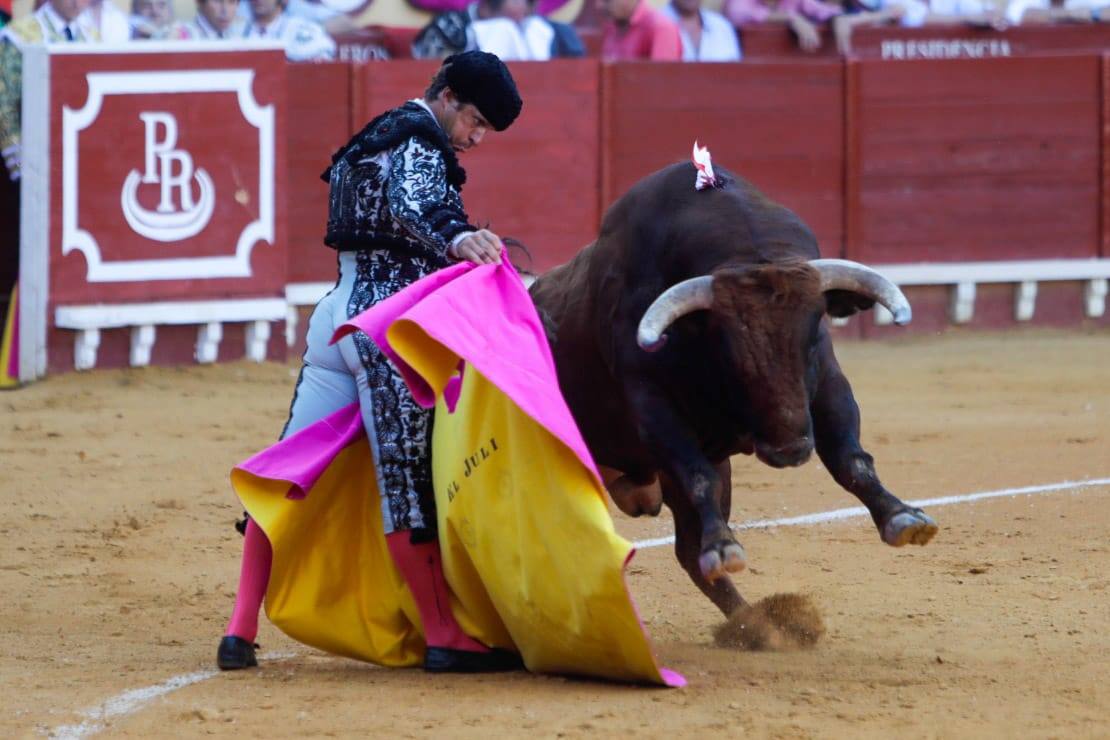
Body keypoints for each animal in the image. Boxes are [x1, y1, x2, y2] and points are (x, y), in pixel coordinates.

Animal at [528, 163, 936, 621]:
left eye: (813, 332)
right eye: (725, 348)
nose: (789, 449)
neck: (749, 252)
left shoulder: (829, 381)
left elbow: (851, 457)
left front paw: (902, 517)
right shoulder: (650, 404)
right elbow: (697, 474)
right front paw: (724, 548)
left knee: (689, 550)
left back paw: (755, 624)